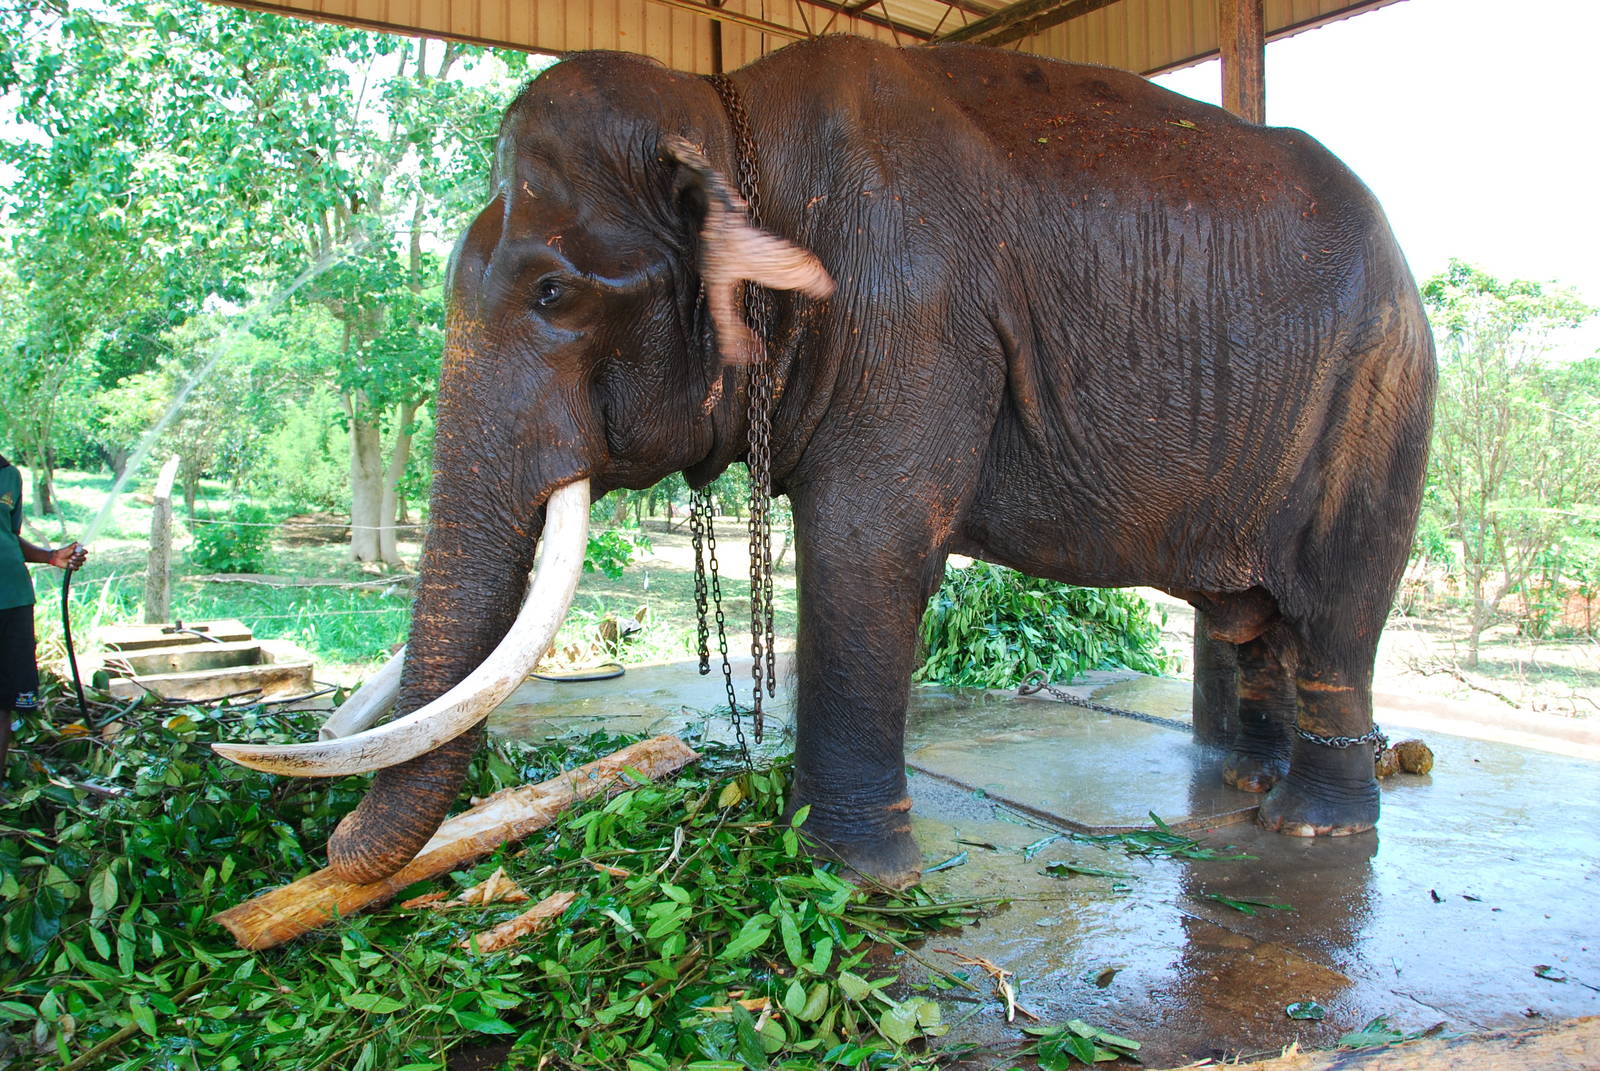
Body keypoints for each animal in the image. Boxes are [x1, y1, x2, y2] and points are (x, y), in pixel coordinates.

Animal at [216, 34, 1436, 890]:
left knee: (1336, 609)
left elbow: (867, 547)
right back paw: (1244, 783)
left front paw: (852, 873)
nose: (326, 849)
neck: (722, 111)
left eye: (553, 293)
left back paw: (1311, 825)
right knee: (1252, 615)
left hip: (1378, 400)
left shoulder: (914, 314)